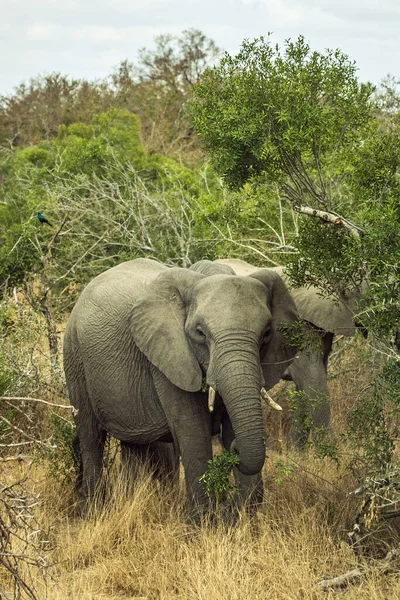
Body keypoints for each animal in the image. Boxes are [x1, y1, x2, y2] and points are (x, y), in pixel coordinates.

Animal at [64, 258, 298, 516]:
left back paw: (128, 503)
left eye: (266, 333)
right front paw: (203, 522)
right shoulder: (168, 356)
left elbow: (231, 427)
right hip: (74, 356)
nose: (235, 451)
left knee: (133, 443)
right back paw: (90, 511)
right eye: (200, 333)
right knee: (91, 436)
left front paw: (236, 516)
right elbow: (194, 432)